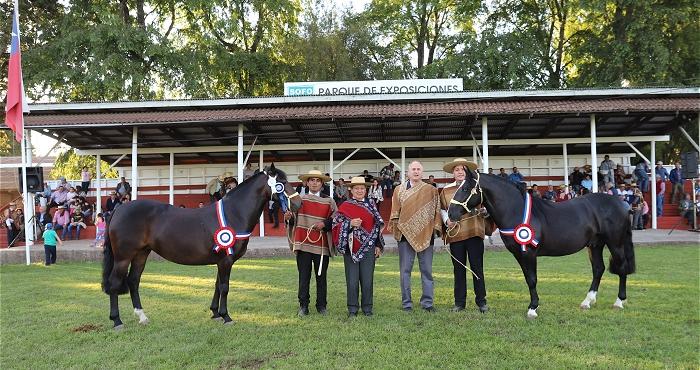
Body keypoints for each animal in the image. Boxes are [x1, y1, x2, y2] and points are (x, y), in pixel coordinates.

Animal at [100, 165, 300, 330]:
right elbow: (225, 287)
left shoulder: (222, 260)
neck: (234, 213)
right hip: (123, 258)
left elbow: (217, 285)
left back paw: (142, 317)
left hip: (141, 254)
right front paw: (226, 317)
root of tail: (119, 209)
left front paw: (215, 313)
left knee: (133, 281)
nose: (298, 204)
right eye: (282, 182)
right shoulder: (226, 260)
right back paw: (117, 321)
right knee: (115, 283)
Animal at [448, 170, 636, 318]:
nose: (450, 213)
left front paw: (532, 309)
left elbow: (532, 280)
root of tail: (622, 204)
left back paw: (619, 302)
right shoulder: (519, 254)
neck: (516, 210)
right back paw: (587, 302)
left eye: (465, 188)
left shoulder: (529, 253)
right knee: (598, 269)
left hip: (615, 243)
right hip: (595, 245)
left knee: (622, 268)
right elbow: (528, 279)